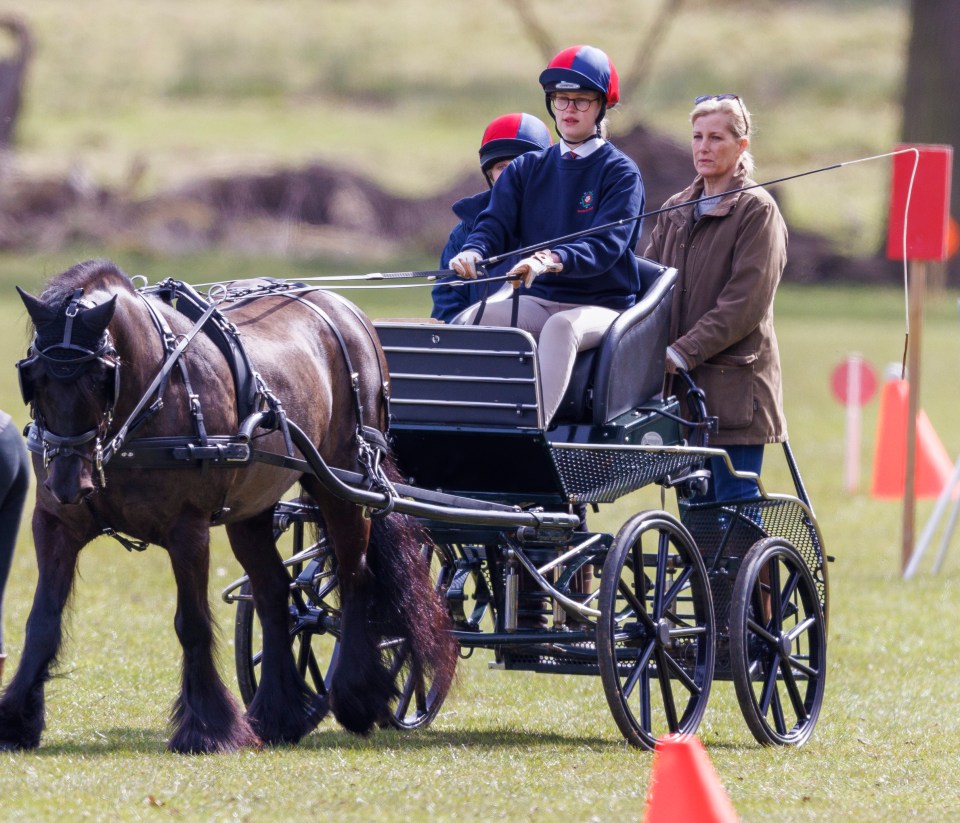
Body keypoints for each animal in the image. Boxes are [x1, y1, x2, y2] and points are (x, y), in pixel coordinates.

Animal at [2, 262, 458, 752]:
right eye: (34, 377)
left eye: (100, 378)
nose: (70, 482)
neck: (145, 401)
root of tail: (349, 312)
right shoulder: (55, 523)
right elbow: (42, 621)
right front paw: (16, 720)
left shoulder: (188, 530)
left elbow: (192, 624)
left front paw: (207, 728)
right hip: (252, 508)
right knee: (275, 592)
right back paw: (277, 714)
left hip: (340, 484)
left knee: (357, 578)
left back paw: (357, 697)